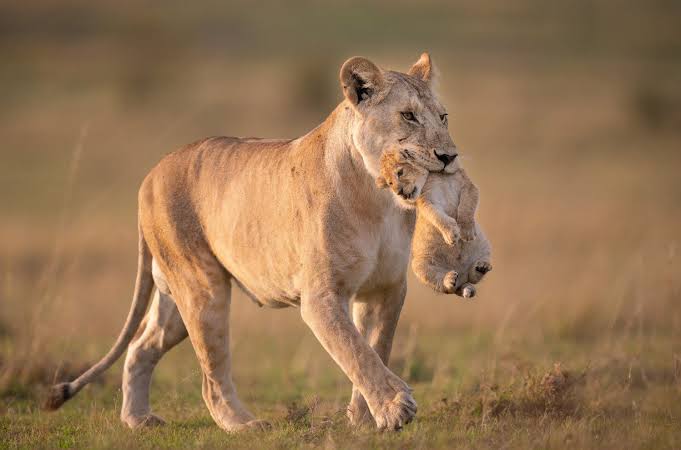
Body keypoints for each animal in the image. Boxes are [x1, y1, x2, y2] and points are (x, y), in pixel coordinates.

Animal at [45, 53, 460, 432]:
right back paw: (245, 425)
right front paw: (394, 408)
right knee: (211, 376)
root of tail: (151, 173)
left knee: (140, 346)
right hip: (203, 289)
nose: (449, 156)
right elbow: (355, 350)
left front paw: (364, 419)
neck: (378, 198)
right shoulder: (321, 295)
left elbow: (376, 347)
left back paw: (138, 420)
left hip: (173, 300)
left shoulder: (385, 288)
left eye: (442, 117)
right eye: (408, 116)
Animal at [376, 146, 492, 297]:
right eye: (389, 183)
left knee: (473, 278)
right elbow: (437, 216)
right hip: (419, 266)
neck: (440, 175)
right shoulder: (427, 200)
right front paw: (451, 234)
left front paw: (466, 232)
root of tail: (461, 279)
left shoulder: (468, 185)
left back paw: (481, 268)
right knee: (444, 286)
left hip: (484, 246)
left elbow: (467, 205)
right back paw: (450, 279)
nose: (398, 192)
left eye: (400, 172)